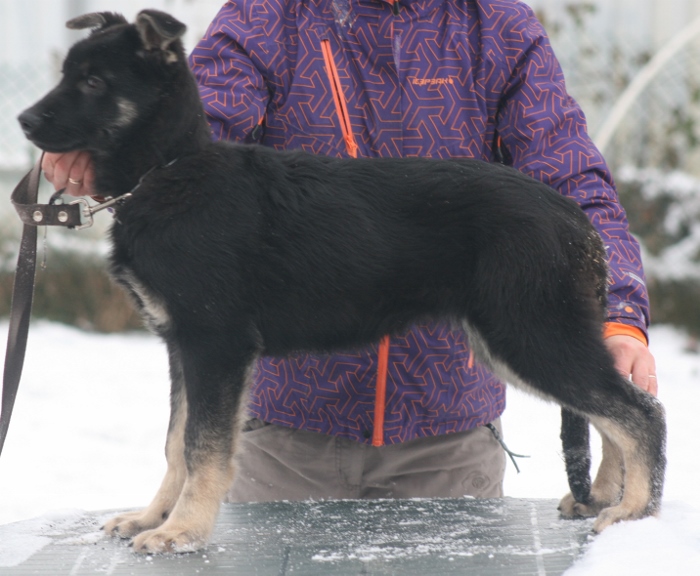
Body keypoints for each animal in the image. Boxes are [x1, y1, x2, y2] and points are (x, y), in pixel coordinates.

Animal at [17, 10, 668, 552]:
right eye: (70, 75)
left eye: (94, 83)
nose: (23, 120)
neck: (169, 170)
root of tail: (576, 220)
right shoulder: (183, 348)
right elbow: (177, 443)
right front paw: (152, 517)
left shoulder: (215, 347)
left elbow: (204, 449)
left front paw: (183, 530)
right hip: (520, 341)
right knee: (612, 413)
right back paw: (602, 497)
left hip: (530, 336)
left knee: (640, 412)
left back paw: (632, 511)